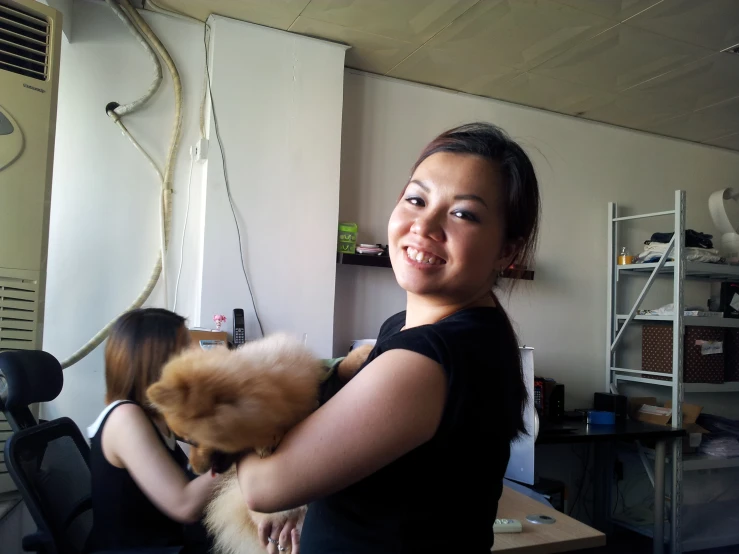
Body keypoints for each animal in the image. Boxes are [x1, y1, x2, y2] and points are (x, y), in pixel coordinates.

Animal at [148, 332, 372, 552]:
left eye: (192, 441)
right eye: (185, 441)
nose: (189, 467)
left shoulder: (316, 381)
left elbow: (340, 367)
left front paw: (363, 353)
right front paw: (267, 441)